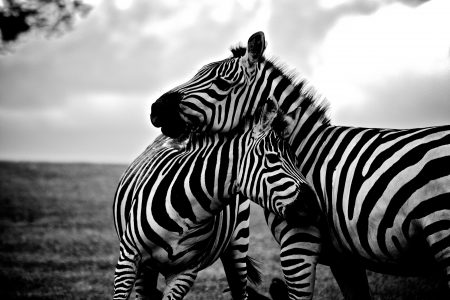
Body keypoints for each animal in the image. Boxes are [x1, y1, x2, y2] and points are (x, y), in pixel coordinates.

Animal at [111, 101, 312, 300]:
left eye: (296, 160)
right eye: (272, 158)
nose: (312, 205)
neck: (184, 211)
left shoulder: (185, 271)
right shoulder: (128, 258)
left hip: (238, 245)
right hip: (145, 268)